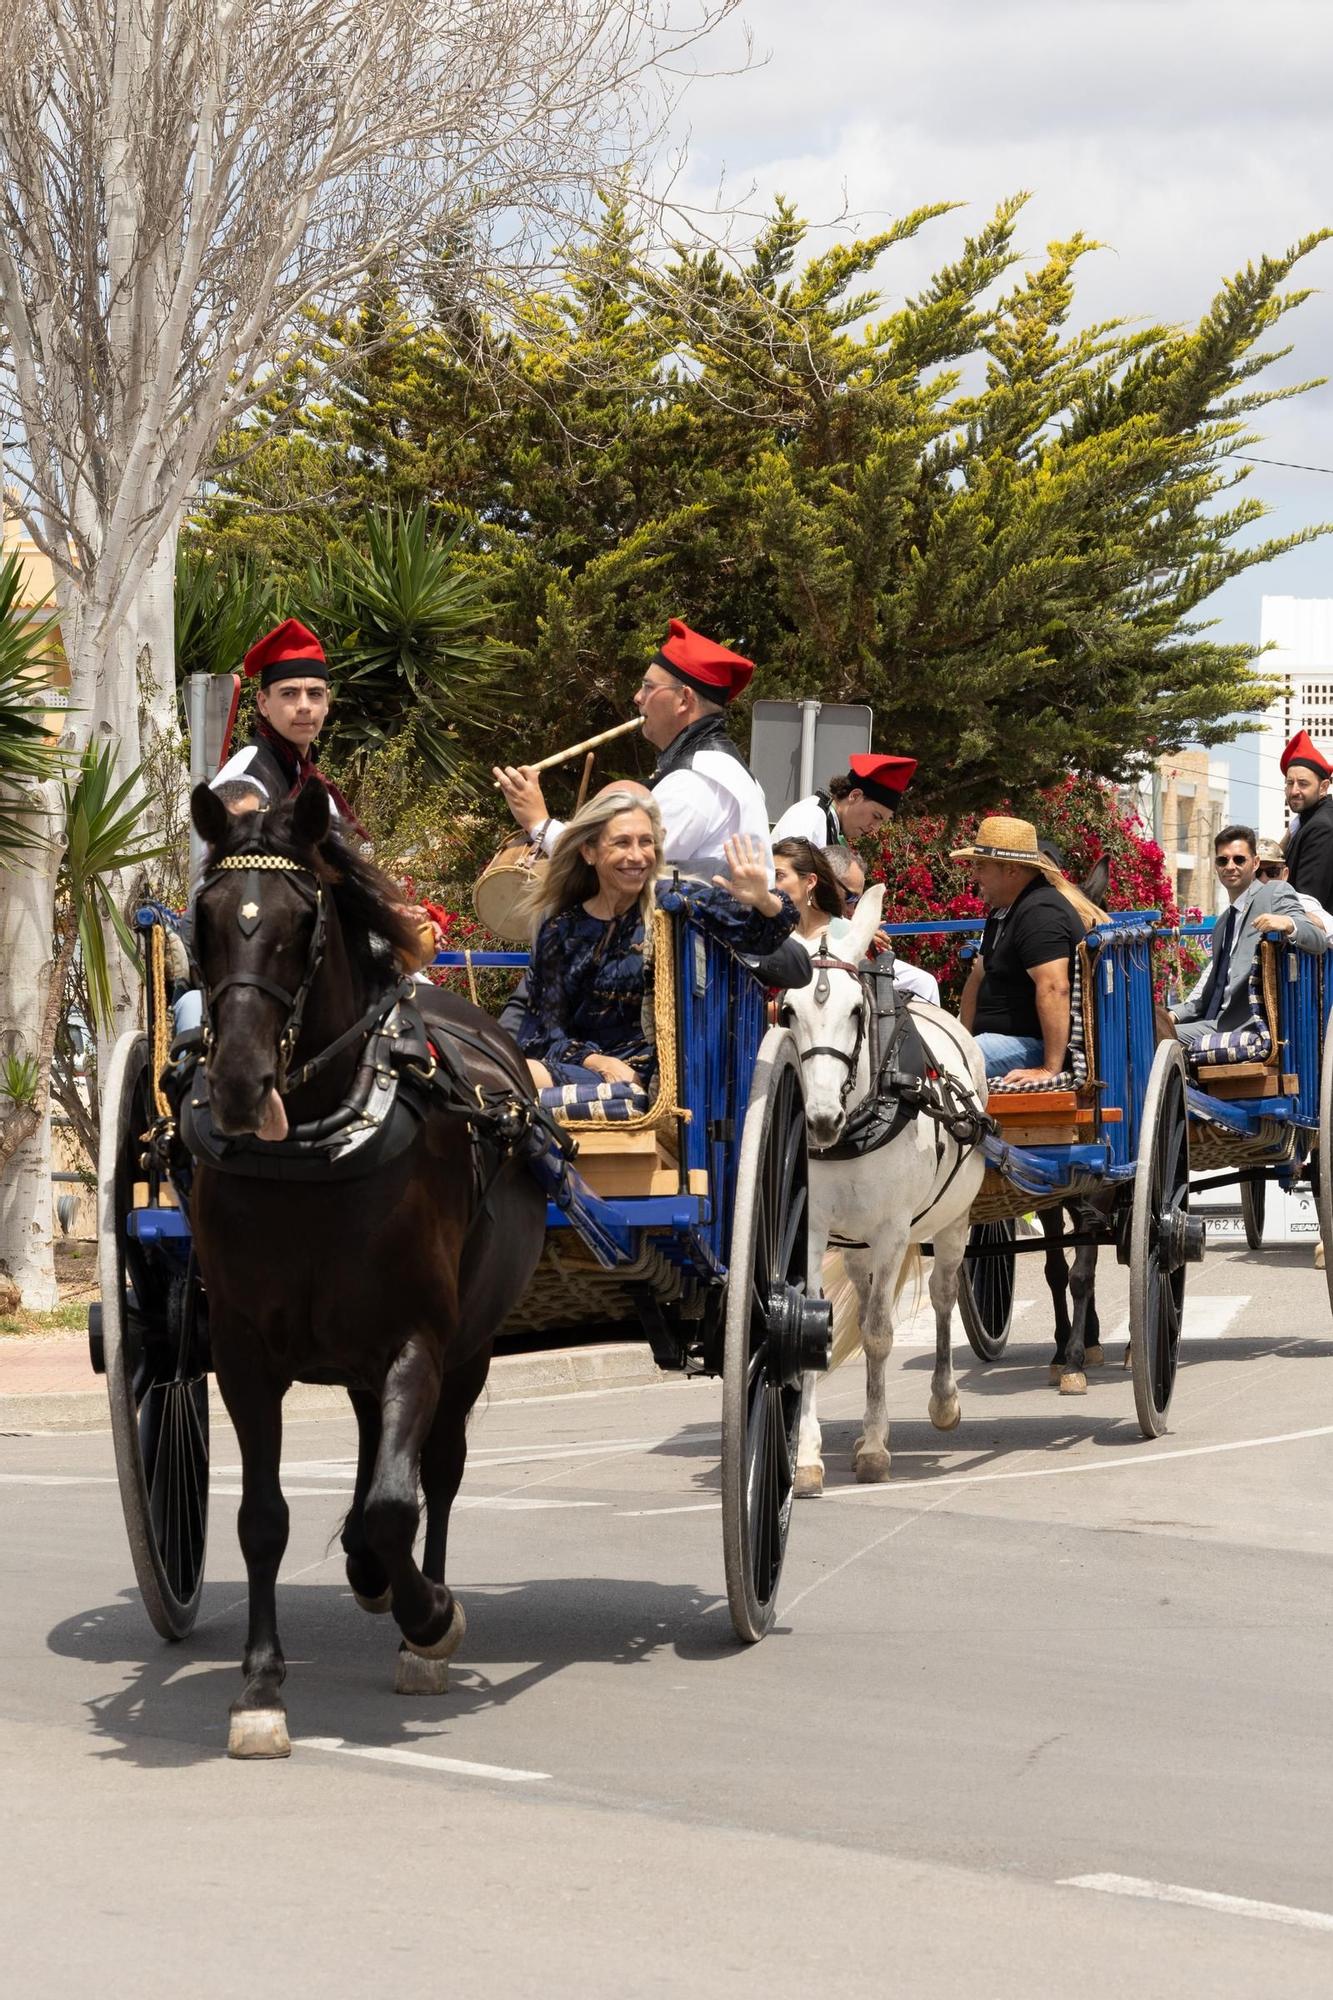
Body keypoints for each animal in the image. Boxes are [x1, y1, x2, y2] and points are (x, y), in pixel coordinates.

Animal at [184, 780, 544, 1752]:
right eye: (203, 920)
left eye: (303, 922)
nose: (238, 1085)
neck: (315, 1148)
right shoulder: (241, 1351)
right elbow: (262, 1517)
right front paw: (260, 1686)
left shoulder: (418, 1340)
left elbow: (394, 1506)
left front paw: (431, 1615)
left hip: (468, 1348)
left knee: (439, 1473)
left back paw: (417, 1624)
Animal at [780, 888, 984, 1488]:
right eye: (787, 1011)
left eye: (856, 1010)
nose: (820, 1120)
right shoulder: (813, 1229)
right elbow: (812, 1325)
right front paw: (807, 1457)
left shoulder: (894, 1230)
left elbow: (878, 1334)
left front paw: (873, 1446)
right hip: (855, 1243)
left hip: (953, 1223)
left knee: (942, 1295)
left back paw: (943, 1401)